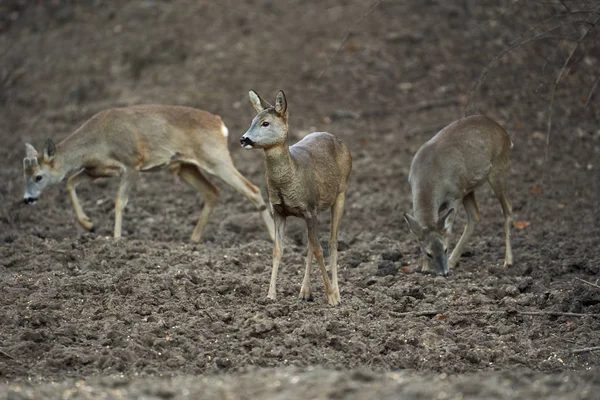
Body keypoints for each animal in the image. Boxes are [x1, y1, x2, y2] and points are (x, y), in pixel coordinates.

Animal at [22, 104, 276, 241]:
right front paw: (88, 224)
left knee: (252, 189)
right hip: (186, 166)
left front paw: (116, 239)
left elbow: (119, 202)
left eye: (38, 176)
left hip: (216, 158)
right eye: (25, 176)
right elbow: (70, 182)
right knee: (212, 192)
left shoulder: (131, 164)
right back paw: (193, 240)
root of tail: (220, 125)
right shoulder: (96, 171)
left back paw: (275, 238)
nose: (26, 199)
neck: (98, 142)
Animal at [239, 89, 352, 304]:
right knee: (310, 244)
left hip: (341, 191)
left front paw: (331, 297)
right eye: (252, 120)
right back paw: (304, 292)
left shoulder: (309, 208)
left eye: (265, 123)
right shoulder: (279, 210)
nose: (244, 139)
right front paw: (270, 295)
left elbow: (319, 249)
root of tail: (340, 141)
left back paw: (337, 293)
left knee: (332, 242)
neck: (290, 178)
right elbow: (278, 250)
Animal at [400, 115, 512, 276]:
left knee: (507, 208)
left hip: (498, 169)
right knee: (475, 216)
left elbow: (448, 229)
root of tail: (505, 135)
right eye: (428, 254)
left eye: (445, 249)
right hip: (468, 188)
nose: (444, 272)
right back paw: (454, 261)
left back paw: (507, 261)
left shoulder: (455, 196)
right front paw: (425, 268)